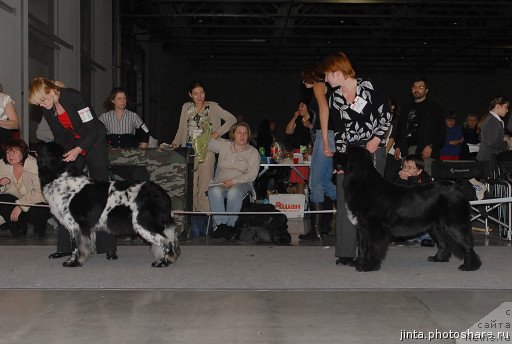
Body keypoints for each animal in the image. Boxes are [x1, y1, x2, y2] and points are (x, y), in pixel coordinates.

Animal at [36, 141, 180, 268]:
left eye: (45, 146)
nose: (38, 142)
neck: (60, 176)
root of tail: (161, 193)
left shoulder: (76, 225)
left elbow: (76, 246)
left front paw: (73, 262)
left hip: (142, 222)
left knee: (166, 241)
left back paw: (163, 262)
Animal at [334, 146, 482, 272]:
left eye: (346, 153)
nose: (334, 153)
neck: (363, 183)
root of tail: (458, 188)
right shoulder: (362, 227)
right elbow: (362, 246)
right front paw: (358, 263)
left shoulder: (373, 228)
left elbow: (371, 247)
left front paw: (368, 266)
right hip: (435, 227)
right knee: (443, 243)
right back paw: (438, 259)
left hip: (454, 224)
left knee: (467, 245)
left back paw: (469, 266)